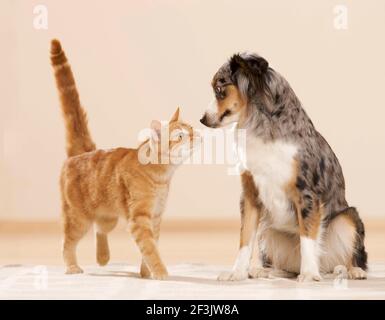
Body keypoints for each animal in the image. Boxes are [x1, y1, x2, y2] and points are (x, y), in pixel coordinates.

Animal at [49, 39, 196, 280]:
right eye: (180, 137)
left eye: (191, 129)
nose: (196, 136)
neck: (162, 176)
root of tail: (81, 153)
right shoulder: (139, 218)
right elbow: (151, 249)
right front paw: (161, 273)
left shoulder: (155, 217)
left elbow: (150, 247)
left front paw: (146, 273)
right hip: (78, 218)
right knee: (66, 242)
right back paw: (72, 267)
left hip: (110, 216)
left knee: (100, 230)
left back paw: (103, 257)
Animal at [201, 53, 366, 282]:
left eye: (219, 88)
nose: (202, 119)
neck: (261, 126)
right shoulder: (250, 193)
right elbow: (245, 238)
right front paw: (237, 272)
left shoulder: (306, 192)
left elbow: (307, 238)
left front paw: (309, 274)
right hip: (269, 229)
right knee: (284, 265)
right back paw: (263, 270)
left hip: (347, 218)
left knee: (346, 256)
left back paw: (351, 270)